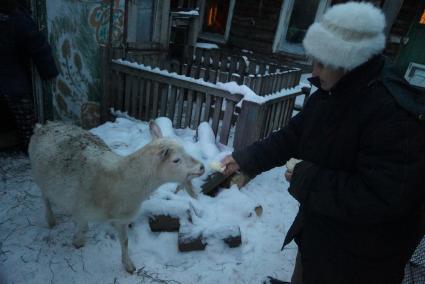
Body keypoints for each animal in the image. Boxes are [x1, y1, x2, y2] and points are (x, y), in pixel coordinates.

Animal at [28, 121, 204, 272]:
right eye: (176, 160)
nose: (202, 167)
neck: (118, 181)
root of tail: (47, 124)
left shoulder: (122, 219)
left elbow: (125, 242)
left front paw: (128, 265)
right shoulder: (82, 210)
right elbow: (82, 228)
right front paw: (77, 242)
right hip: (39, 176)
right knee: (45, 197)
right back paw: (50, 219)